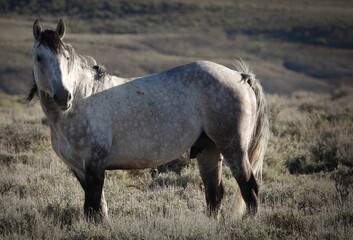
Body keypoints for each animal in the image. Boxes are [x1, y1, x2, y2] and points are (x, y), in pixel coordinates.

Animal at [27, 19, 268, 222]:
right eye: (39, 57)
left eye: (66, 58)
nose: (63, 97)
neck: (82, 98)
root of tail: (241, 77)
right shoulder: (79, 168)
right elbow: (99, 208)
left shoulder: (95, 163)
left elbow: (92, 207)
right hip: (209, 150)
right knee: (215, 193)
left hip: (233, 148)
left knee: (249, 188)